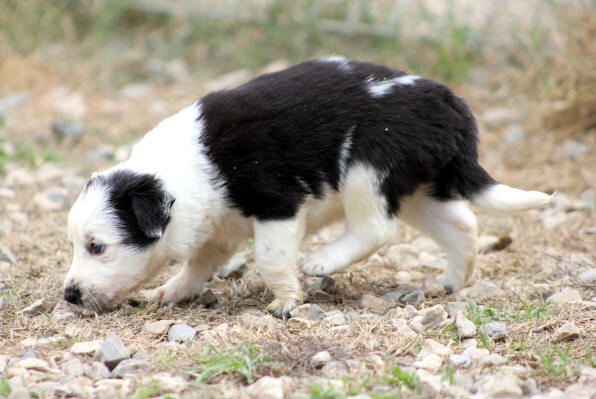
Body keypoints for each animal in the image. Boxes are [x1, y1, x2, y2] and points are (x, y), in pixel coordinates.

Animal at [62, 57, 552, 318]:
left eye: (97, 247)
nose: (69, 295)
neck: (181, 173)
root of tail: (449, 105)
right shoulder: (216, 230)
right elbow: (198, 266)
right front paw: (169, 292)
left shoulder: (278, 205)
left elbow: (270, 259)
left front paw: (285, 301)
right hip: (415, 191)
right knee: (462, 223)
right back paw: (451, 282)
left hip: (366, 169)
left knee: (377, 229)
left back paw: (324, 261)